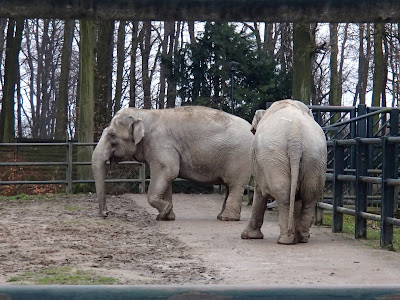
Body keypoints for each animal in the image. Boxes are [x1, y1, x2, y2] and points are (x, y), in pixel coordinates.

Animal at [91, 105, 253, 220]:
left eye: (112, 135)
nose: (106, 213)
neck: (143, 113)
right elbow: (167, 177)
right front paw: (166, 216)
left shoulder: (161, 144)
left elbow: (168, 171)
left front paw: (165, 211)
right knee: (229, 186)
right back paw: (221, 216)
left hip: (240, 157)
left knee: (235, 185)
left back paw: (227, 218)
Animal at [242, 99, 326, 245]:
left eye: (253, 130)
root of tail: (295, 137)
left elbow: (259, 191)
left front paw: (247, 236)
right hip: (315, 156)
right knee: (310, 195)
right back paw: (301, 238)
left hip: (273, 157)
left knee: (283, 195)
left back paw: (285, 239)